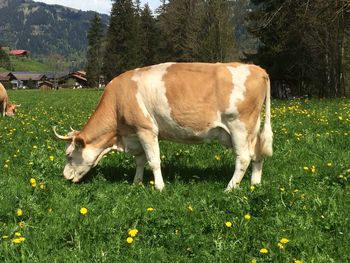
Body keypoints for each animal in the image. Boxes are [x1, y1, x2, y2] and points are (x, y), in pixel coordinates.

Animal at [54, 62, 274, 192]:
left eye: (68, 154)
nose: (64, 175)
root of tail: (258, 69)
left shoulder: (146, 129)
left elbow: (153, 161)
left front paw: (159, 187)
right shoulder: (136, 134)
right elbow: (140, 160)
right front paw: (136, 183)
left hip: (239, 126)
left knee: (243, 158)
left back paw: (230, 188)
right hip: (252, 129)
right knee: (257, 154)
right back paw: (255, 183)